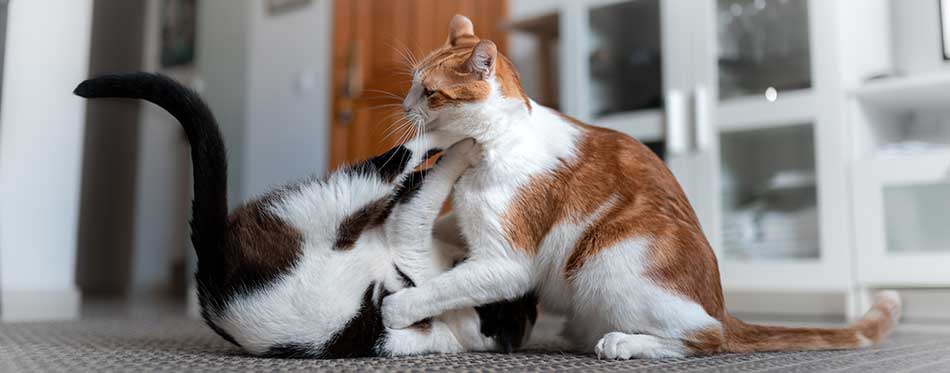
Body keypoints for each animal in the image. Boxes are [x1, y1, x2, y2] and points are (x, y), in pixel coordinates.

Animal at [73, 72, 536, 358]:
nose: (531, 302)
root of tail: (210, 274)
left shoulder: (408, 233)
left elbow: (426, 183)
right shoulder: (408, 225)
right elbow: (429, 183)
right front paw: (470, 143)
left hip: (339, 196)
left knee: (399, 158)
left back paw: (462, 130)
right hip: (352, 199)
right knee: (407, 158)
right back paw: (468, 127)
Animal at [384, 15, 904, 358]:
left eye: (429, 92)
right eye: (412, 84)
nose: (405, 106)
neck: (489, 145)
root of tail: (723, 307)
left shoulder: (506, 262)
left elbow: (447, 287)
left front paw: (397, 308)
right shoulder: (469, 224)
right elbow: (447, 228)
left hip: (607, 260)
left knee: (706, 338)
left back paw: (623, 343)